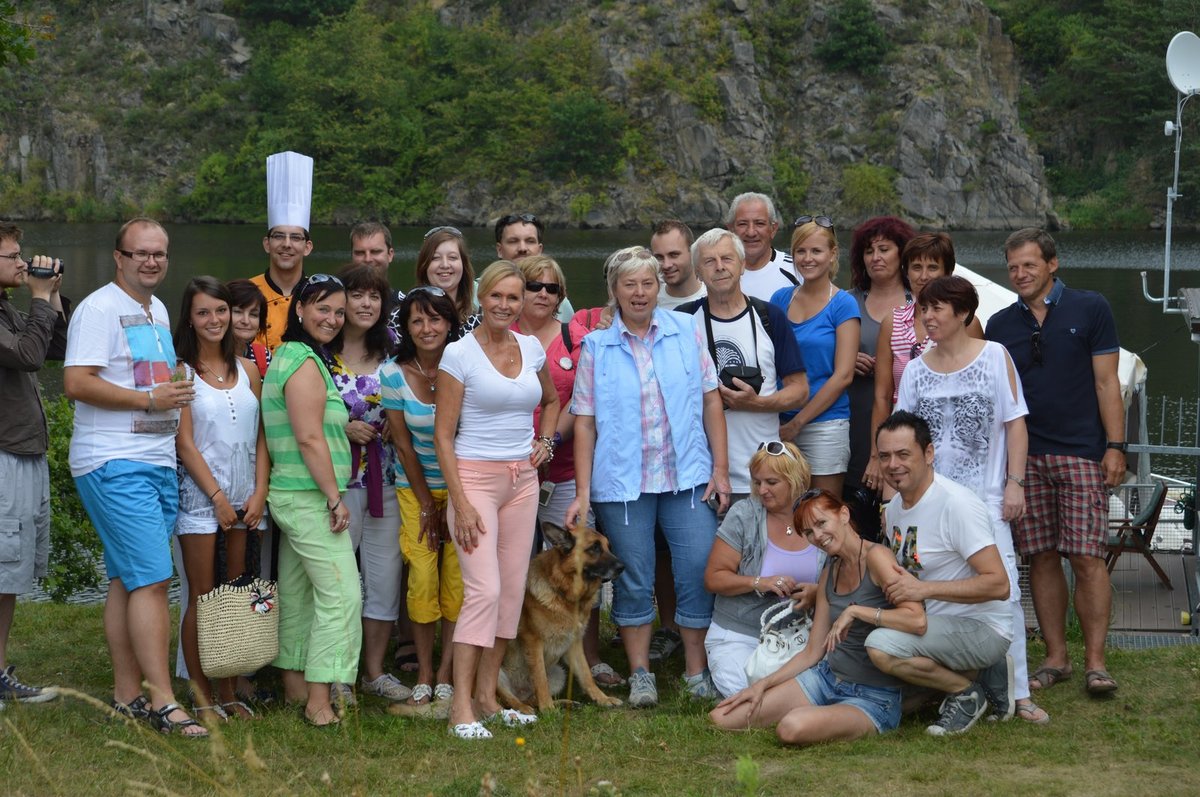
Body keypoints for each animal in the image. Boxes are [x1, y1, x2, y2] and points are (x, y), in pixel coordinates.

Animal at [496, 520, 628, 710]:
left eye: (608, 547)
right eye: (594, 548)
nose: (622, 567)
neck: (564, 593)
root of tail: (520, 692)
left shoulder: (575, 643)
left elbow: (587, 676)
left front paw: (602, 698)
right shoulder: (533, 642)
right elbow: (540, 678)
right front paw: (547, 709)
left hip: (560, 673)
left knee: (532, 698)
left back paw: (564, 703)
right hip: (497, 675)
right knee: (509, 699)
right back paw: (525, 709)